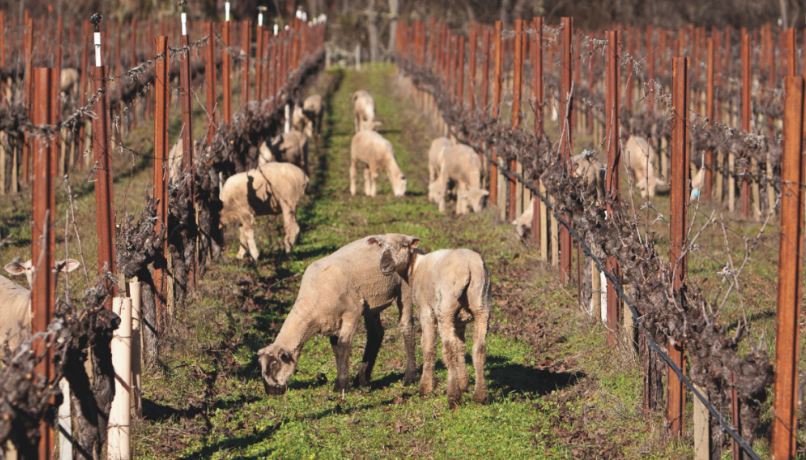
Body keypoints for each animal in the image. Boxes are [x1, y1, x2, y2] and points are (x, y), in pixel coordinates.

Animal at [260, 235, 422, 394]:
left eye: (275, 365)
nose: (270, 392)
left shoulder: (352, 311)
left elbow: (343, 345)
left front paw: (342, 386)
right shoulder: (332, 321)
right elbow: (336, 348)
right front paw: (339, 384)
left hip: (404, 289)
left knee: (406, 326)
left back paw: (409, 377)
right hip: (371, 304)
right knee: (376, 334)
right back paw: (362, 380)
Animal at [410, 248, 492, 406]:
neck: (417, 266)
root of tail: (469, 266)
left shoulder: (426, 311)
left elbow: (428, 346)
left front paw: (425, 388)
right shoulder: (459, 321)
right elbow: (461, 347)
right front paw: (464, 383)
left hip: (446, 307)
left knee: (449, 348)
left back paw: (453, 396)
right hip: (481, 302)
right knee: (479, 347)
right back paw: (480, 396)